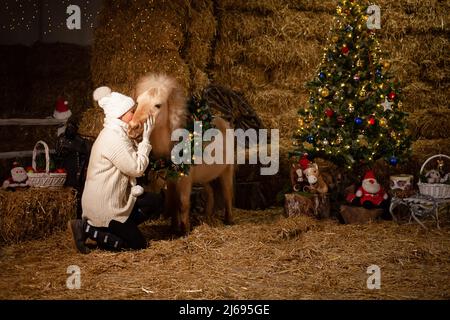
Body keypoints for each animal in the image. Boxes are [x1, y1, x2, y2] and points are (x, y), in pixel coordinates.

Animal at [126, 73, 232, 235]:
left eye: (158, 105)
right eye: (138, 102)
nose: (132, 128)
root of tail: (224, 123)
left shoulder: (185, 179)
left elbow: (183, 203)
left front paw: (185, 230)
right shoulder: (171, 178)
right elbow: (173, 203)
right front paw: (174, 228)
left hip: (226, 171)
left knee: (227, 195)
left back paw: (229, 220)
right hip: (206, 177)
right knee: (210, 193)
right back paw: (207, 218)